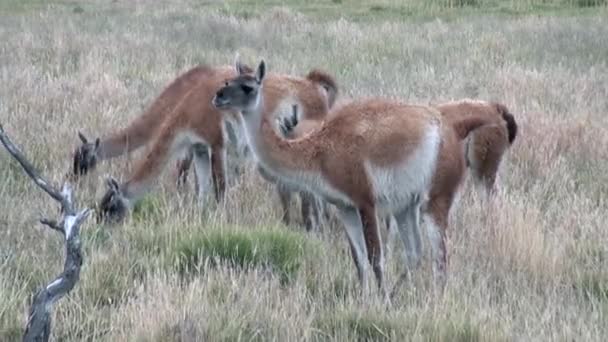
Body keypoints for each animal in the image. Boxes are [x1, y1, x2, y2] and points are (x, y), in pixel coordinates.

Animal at [211, 59, 502, 302]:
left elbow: (375, 257)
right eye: (227, 82)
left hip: (437, 194)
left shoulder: (365, 199)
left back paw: (433, 299)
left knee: (440, 255)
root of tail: (452, 130)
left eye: (248, 87)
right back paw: (399, 292)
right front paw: (364, 299)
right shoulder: (345, 206)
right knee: (415, 252)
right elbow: (358, 258)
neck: (320, 152)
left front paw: (381, 302)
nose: (218, 97)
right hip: (406, 205)